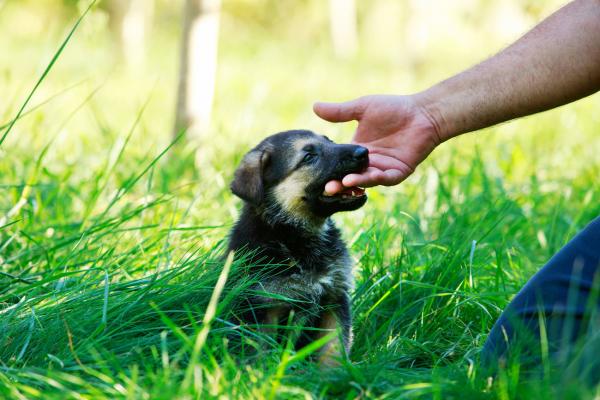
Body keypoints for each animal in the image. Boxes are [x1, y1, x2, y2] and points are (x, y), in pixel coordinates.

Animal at [227, 130, 368, 364]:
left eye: (330, 141)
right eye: (309, 157)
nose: (364, 152)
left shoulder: (334, 298)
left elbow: (333, 349)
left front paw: (336, 372)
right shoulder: (265, 307)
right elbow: (261, 350)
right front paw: (260, 372)